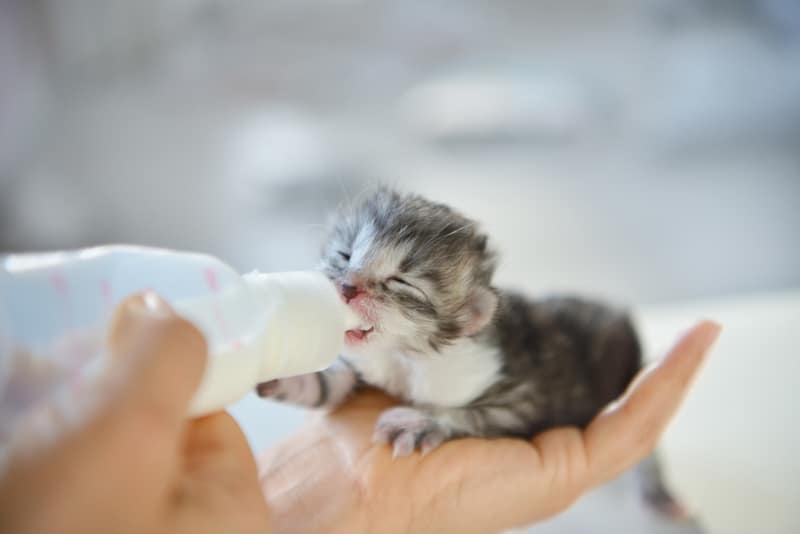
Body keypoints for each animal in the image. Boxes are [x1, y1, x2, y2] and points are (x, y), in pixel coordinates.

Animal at [258, 189, 688, 520]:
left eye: (401, 282)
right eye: (345, 255)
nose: (347, 287)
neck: (404, 357)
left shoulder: (521, 392)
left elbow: (481, 415)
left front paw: (423, 423)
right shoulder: (366, 365)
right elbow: (334, 383)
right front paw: (282, 369)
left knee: (650, 456)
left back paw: (657, 491)